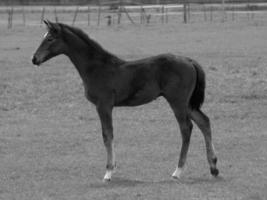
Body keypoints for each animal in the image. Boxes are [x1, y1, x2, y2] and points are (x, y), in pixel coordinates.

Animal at [31, 19, 220, 181]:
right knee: (204, 122)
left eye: (49, 38)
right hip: (188, 104)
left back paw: (178, 171)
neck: (97, 68)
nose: (34, 59)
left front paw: (108, 172)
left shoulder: (104, 106)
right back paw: (214, 168)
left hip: (177, 102)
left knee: (186, 128)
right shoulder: (105, 106)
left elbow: (107, 135)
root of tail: (189, 60)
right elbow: (109, 134)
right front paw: (112, 168)